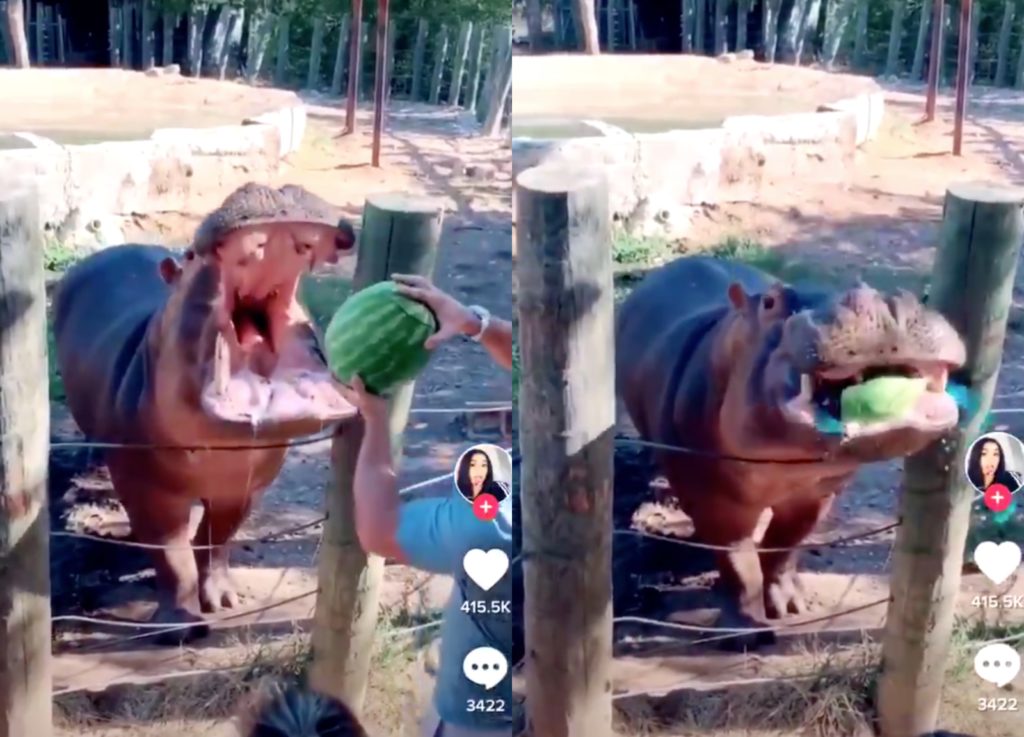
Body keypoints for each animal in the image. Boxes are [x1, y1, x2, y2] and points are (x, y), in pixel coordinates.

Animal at [53, 183, 358, 643]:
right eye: (191, 257)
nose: (271, 188)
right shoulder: (148, 489)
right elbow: (171, 553)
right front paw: (180, 627)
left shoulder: (245, 486)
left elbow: (217, 538)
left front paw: (223, 601)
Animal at [616, 257, 966, 649]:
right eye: (770, 302)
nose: (885, 303)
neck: (784, 466)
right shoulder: (714, 500)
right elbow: (739, 565)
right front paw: (746, 634)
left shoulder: (818, 493)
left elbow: (784, 545)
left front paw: (789, 606)